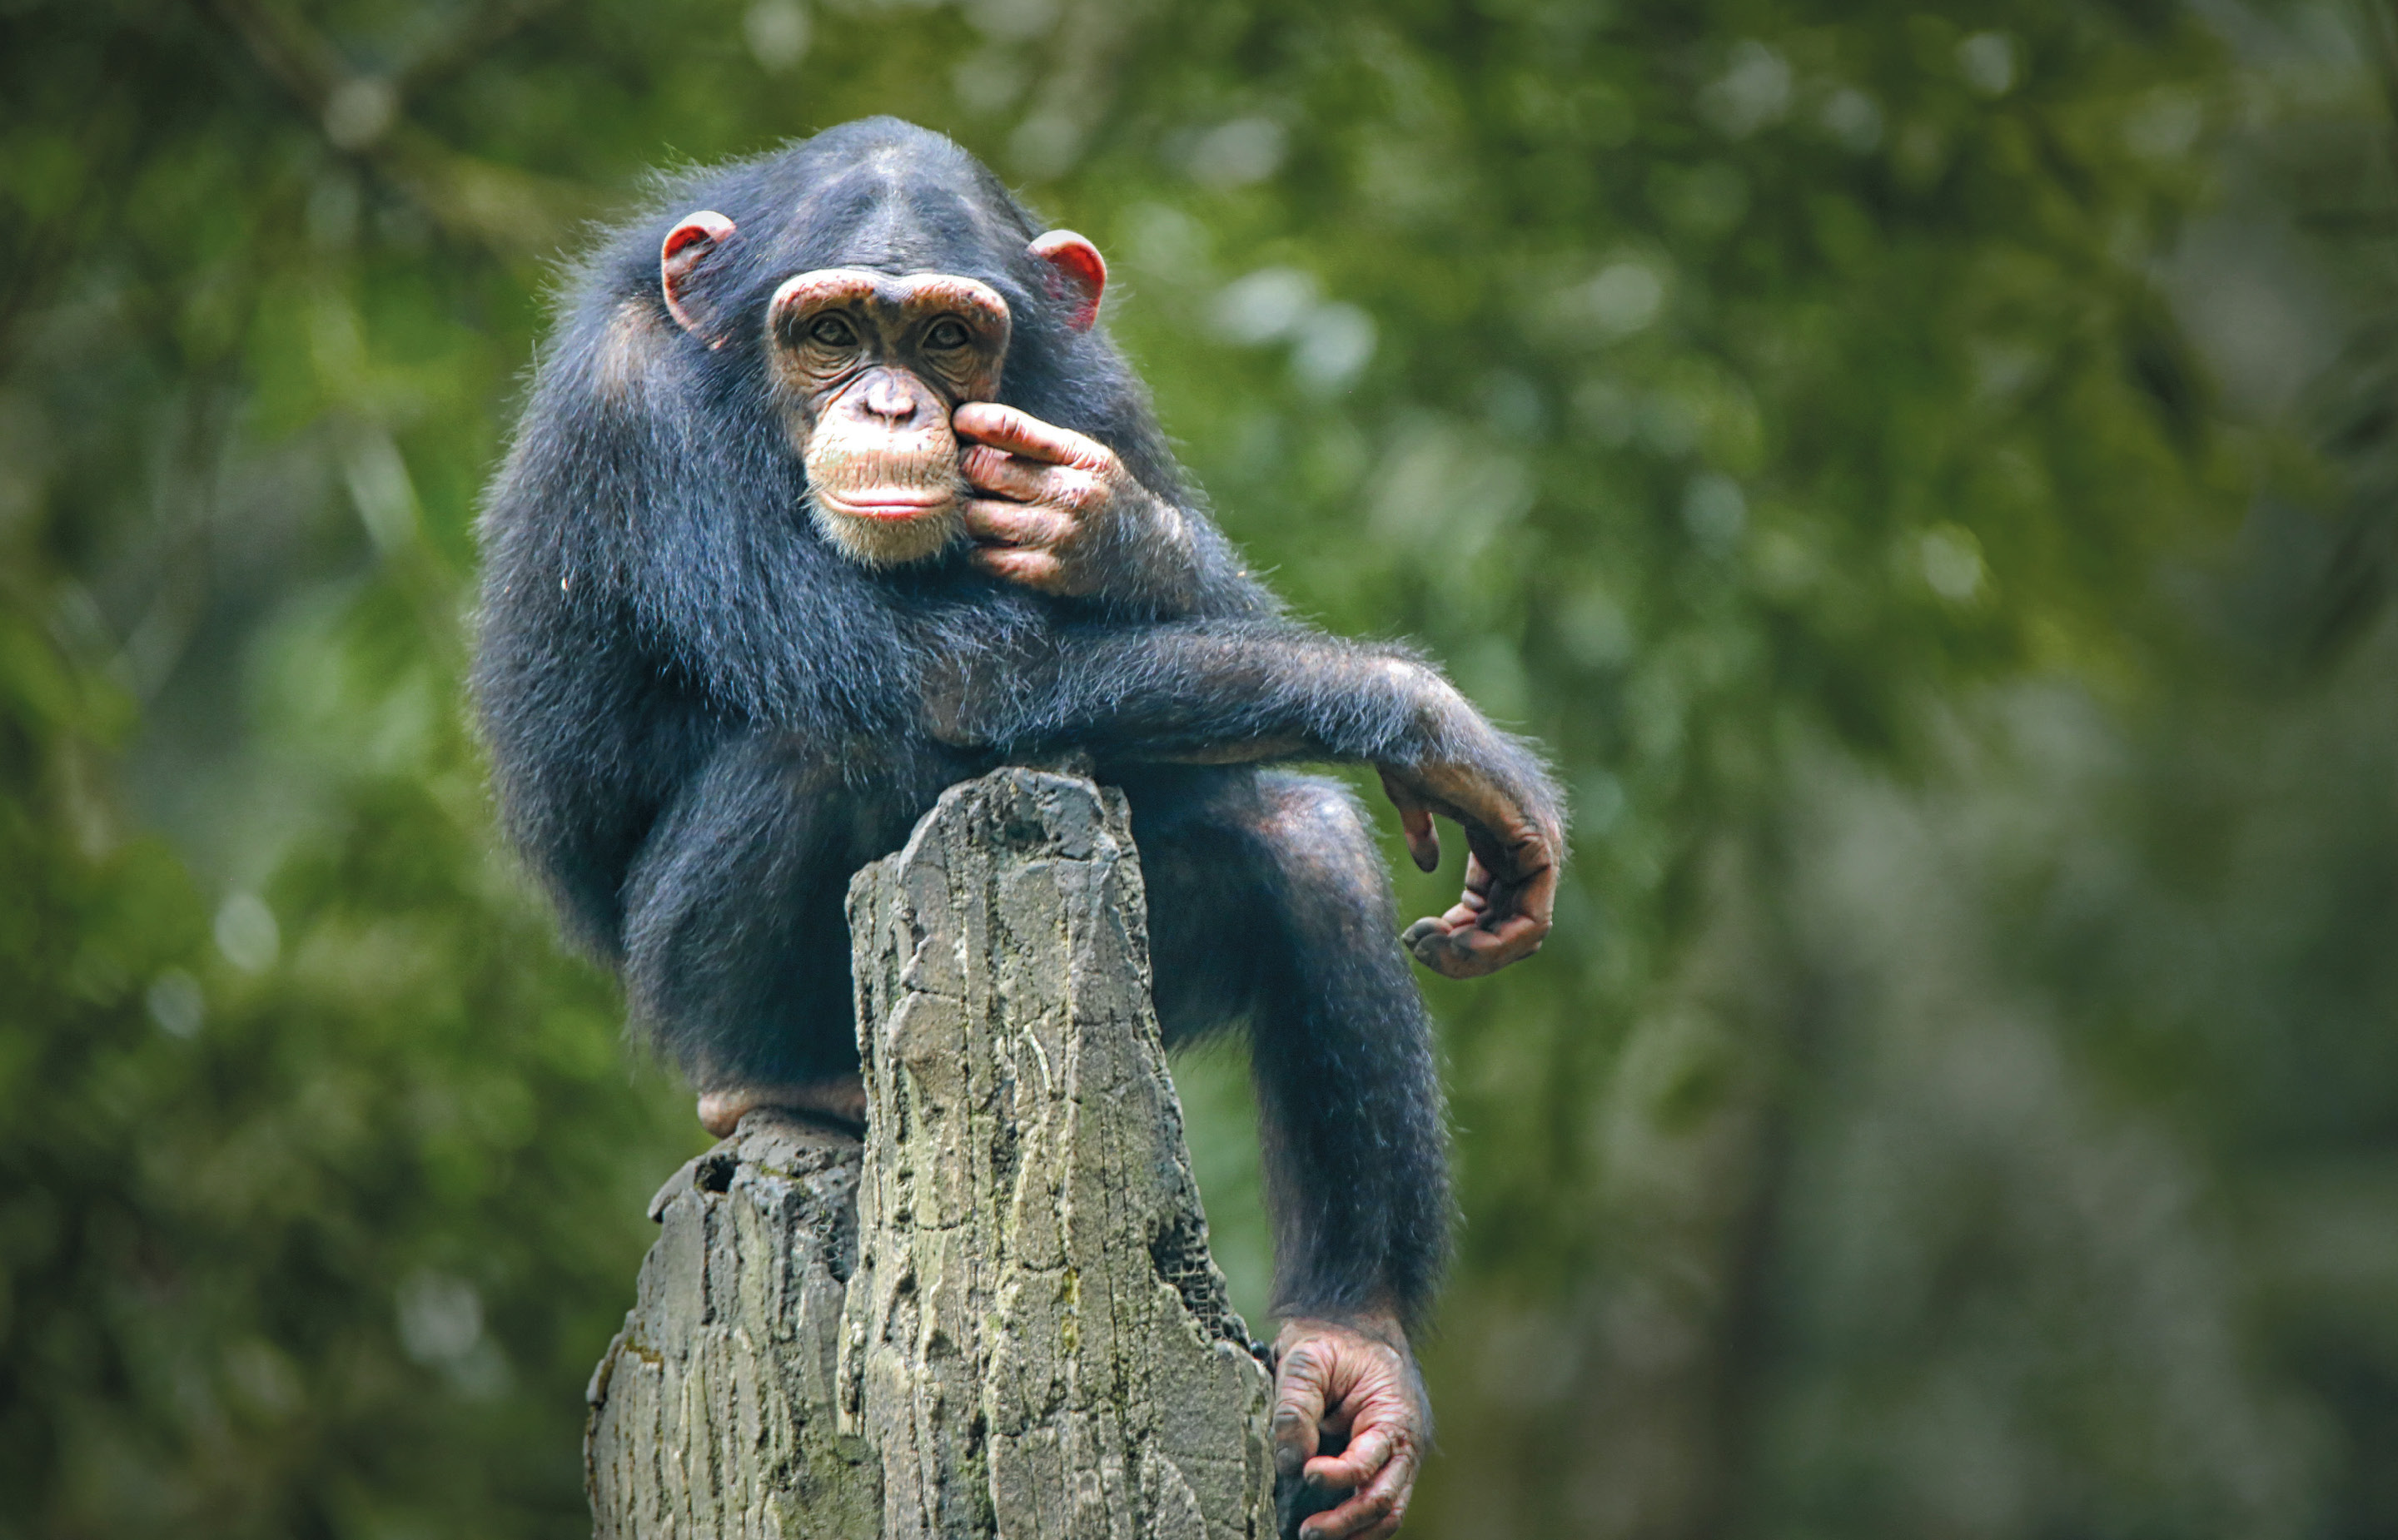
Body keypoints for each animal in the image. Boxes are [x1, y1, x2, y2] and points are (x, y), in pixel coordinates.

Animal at [475, 120, 1563, 1535]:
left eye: (946, 338)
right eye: (830, 330)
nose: (891, 407)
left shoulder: (1095, 389)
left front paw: (1117, 531)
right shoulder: (639, 413)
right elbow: (957, 681)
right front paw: (1436, 722)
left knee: (1301, 842)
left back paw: (1353, 1344)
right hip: (680, 993)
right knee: (830, 737)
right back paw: (783, 1078)